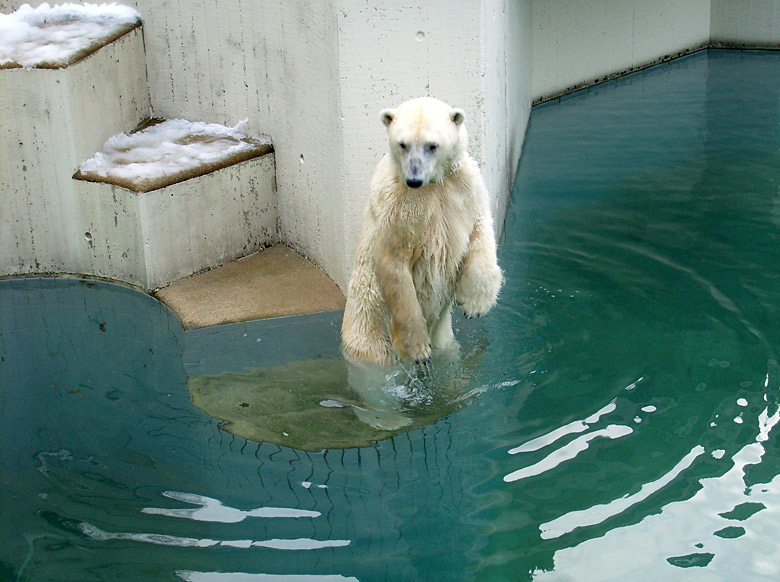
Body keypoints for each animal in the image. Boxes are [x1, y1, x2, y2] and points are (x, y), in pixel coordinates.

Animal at [342, 97, 506, 368]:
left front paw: (474, 304)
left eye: (432, 146)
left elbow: (481, 229)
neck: (430, 186)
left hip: (445, 339)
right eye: (403, 144)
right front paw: (416, 349)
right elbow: (393, 264)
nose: (414, 179)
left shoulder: (464, 187)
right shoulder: (394, 206)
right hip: (369, 335)